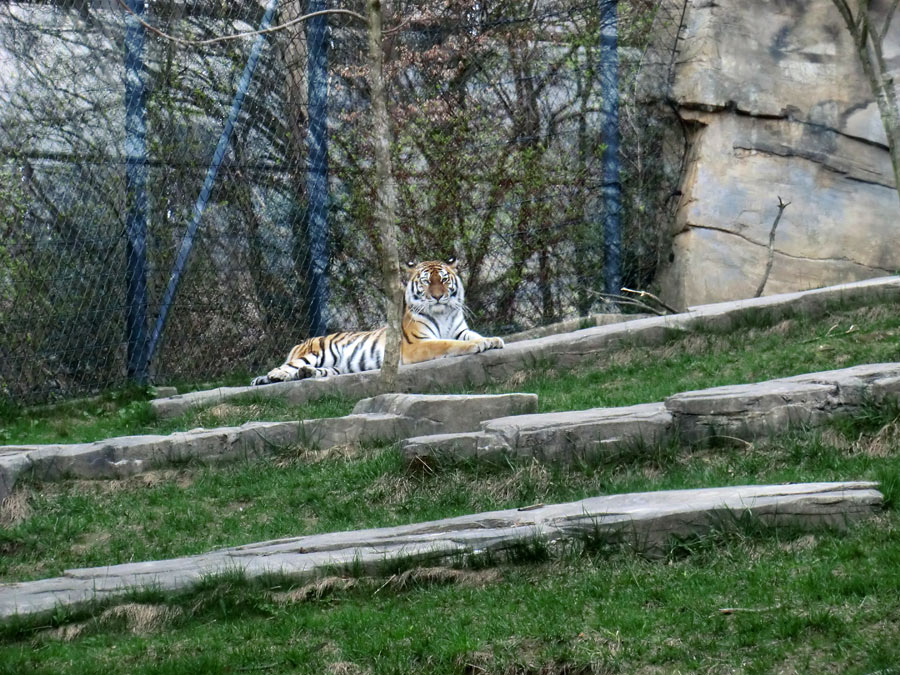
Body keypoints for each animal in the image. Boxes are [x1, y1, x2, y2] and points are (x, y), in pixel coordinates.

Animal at [251, 258, 506, 386]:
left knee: (314, 371)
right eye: (426, 281)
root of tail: (301, 342)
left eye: (443, 279)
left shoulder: (460, 330)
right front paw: (477, 345)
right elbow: (447, 344)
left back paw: (306, 374)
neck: (442, 313)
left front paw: (492, 340)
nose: (437, 296)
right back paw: (276, 377)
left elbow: (473, 335)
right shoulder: (417, 344)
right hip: (316, 353)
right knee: (284, 367)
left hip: (335, 366)